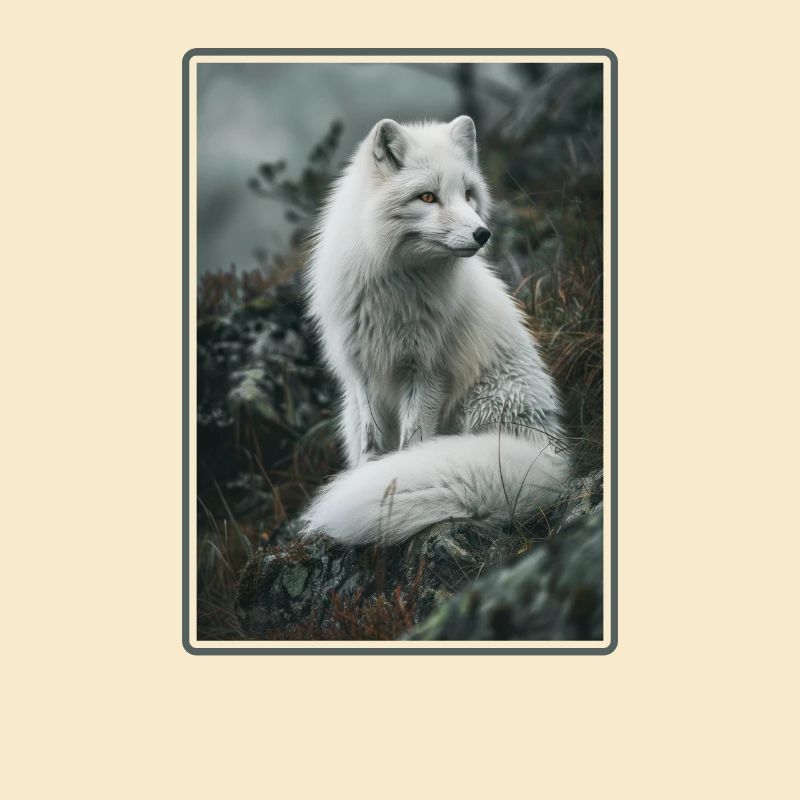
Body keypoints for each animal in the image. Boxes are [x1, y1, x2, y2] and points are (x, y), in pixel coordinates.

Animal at [301, 115, 572, 546]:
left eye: (468, 194)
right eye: (427, 197)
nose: (482, 234)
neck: (395, 289)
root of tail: (550, 453)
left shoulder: (427, 370)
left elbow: (412, 443)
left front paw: (391, 478)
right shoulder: (362, 370)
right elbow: (371, 442)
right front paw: (368, 474)